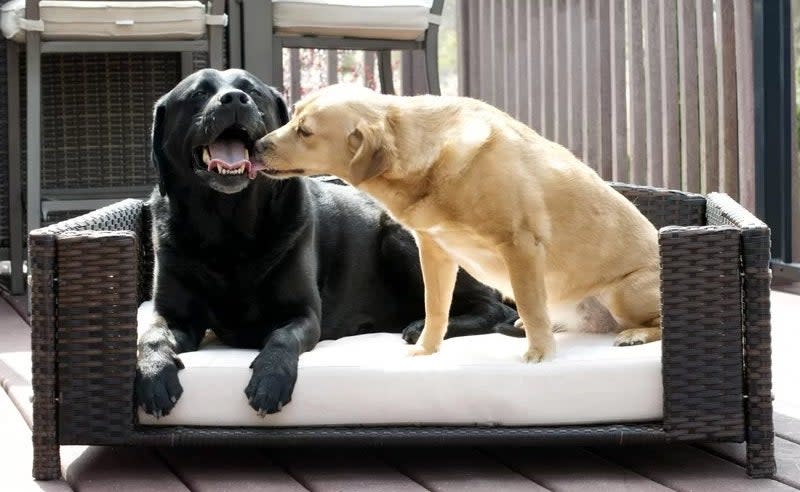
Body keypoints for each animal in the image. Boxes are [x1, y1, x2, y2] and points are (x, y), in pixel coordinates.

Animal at [137, 68, 520, 416]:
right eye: (198, 94)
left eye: (253, 91)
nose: (234, 99)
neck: (228, 227)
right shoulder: (174, 316)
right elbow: (150, 336)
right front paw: (153, 375)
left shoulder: (303, 313)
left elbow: (281, 338)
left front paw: (270, 379)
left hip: (399, 240)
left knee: (491, 308)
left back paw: (420, 327)